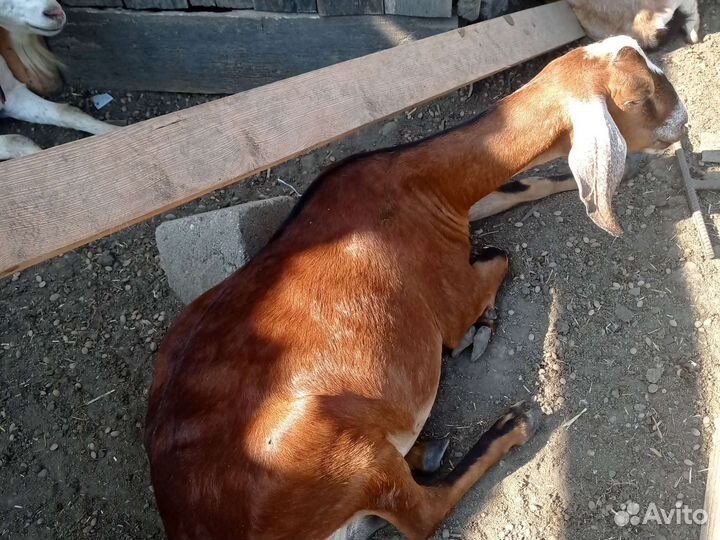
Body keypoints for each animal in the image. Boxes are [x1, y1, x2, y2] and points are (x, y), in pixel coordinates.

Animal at [145, 36, 687, 540]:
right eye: (640, 96)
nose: (683, 123)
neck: (412, 182)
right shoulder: (449, 295)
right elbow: (499, 256)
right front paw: (478, 326)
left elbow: (515, 187)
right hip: (341, 450)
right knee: (424, 513)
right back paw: (510, 424)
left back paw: (428, 448)